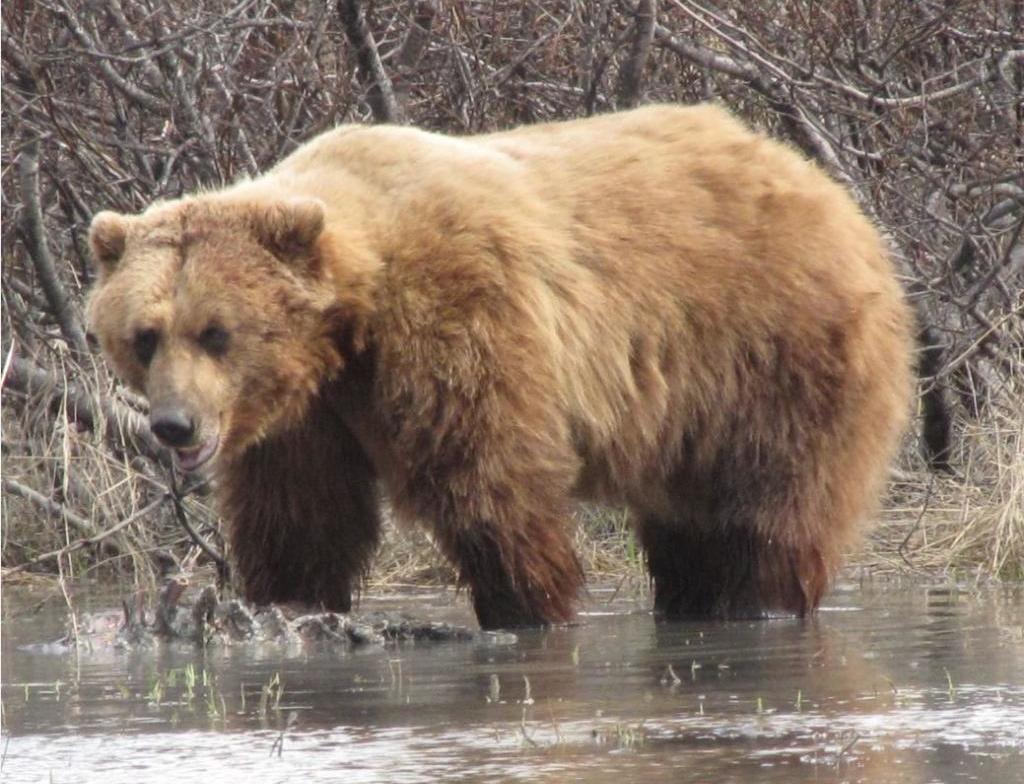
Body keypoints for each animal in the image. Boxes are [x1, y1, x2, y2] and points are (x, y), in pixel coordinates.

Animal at [86, 104, 913, 630]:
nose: (173, 424)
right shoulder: (305, 414)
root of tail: (826, 186)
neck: (351, 324)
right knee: (689, 530)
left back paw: (756, 603)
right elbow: (300, 518)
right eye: (145, 334)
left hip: (771, 354)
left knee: (767, 514)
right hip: (690, 419)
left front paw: (525, 609)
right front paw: (288, 605)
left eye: (216, 331)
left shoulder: (459, 320)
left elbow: (489, 485)